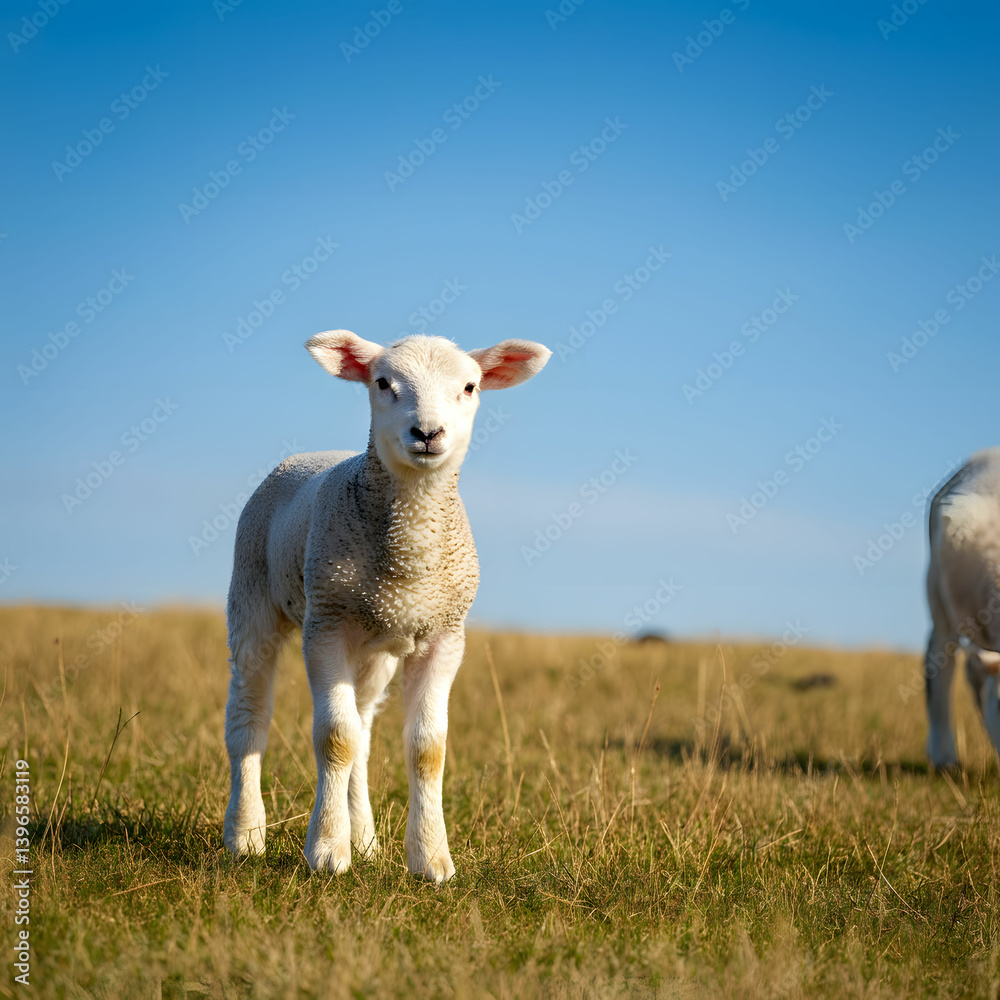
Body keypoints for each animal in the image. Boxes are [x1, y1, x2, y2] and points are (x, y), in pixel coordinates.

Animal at [223, 330, 551, 880]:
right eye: (382, 382)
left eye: (470, 386)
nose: (428, 432)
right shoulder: (326, 624)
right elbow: (334, 738)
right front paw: (327, 852)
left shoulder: (444, 635)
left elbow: (426, 750)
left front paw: (431, 860)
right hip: (252, 596)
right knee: (251, 715)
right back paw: (245, 833)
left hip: (374, 650)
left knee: (364, 729)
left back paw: (366, 838)